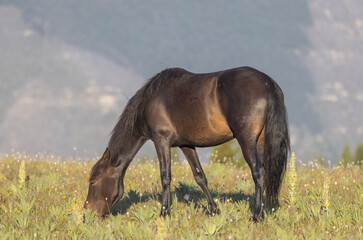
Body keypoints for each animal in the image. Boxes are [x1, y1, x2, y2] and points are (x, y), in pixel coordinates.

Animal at [83, 65, 290, 221]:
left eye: (93, 181)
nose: (87, 212)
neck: (150, 100)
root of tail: (268, 84)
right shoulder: (186, 144)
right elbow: (200, 177)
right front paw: (214, 210)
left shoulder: (161, 140)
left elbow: (165, 176)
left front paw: (164, 213)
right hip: (260, 141)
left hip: (246, 140)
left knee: (258, 172)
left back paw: (257, 215)